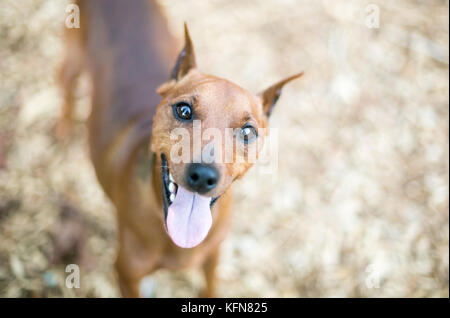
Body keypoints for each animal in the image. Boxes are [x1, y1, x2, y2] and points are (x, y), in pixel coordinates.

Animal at [57, 0, 302, 298]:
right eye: (184, 110)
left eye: (248, 132)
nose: (204, 176)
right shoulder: (127, 273)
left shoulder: (213, 256)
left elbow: (210, 287)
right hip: (73, 56)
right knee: (65, 83)